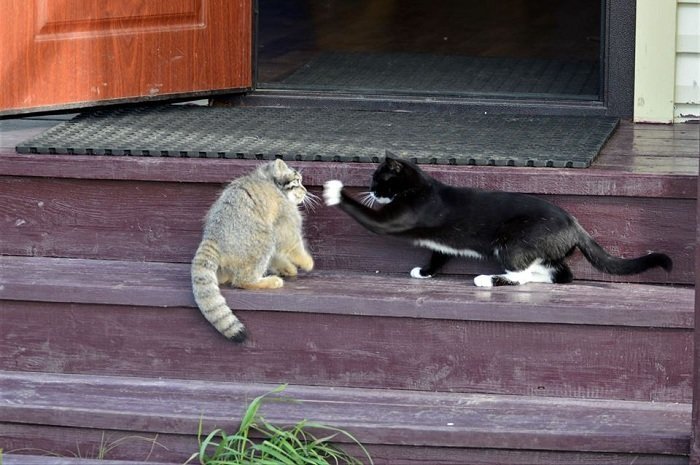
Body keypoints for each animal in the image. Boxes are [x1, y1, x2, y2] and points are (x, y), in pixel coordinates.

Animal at [190, 160, 314, 340]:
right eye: (297, 181)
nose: (305, 191)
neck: (271, 180)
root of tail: (212, 236)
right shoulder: (285, 217)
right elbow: (292, 243)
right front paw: (307, 262)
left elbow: (277, 255)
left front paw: (287, 268)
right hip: (264, 239)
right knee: (242, 281)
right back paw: (267, 281)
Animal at [322, 152, 672, 284]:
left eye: (377, 180)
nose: (369, 189)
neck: (420, 187)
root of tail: (575, 224)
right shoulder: (440, 245)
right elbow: (438, 254)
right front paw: (425, 271)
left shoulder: (391, 220)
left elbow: (367, 216)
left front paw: (334, 191)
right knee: (561, 274)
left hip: (511, 242)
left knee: (520, 275)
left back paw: (487, 279)